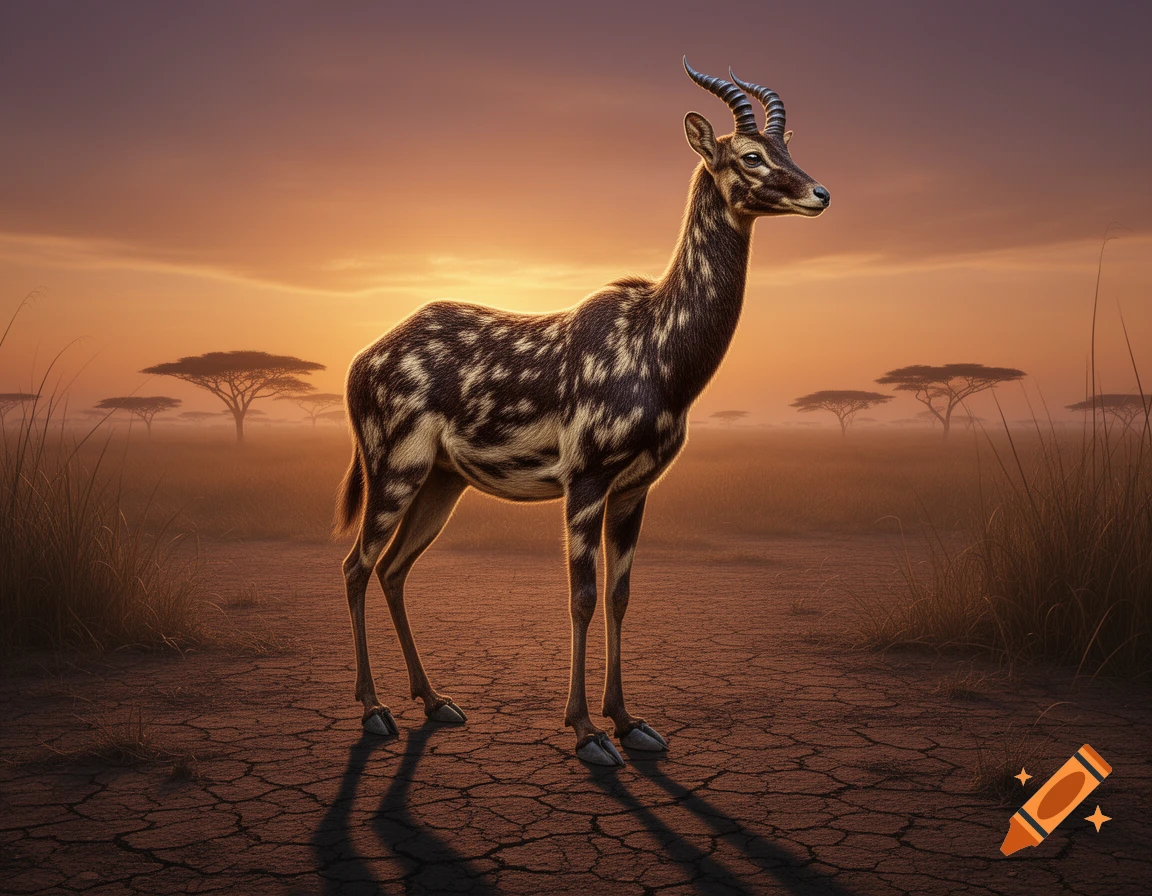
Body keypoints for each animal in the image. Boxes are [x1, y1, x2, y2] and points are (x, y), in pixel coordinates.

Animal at [338, 59, 829, 766]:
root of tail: (360, 361)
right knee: (356, 565)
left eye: (787, 144)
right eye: (750, 154)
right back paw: (375, 711)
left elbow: (621, 597)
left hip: (442, 482)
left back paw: (437, 702)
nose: (819, 193)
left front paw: (631, 723)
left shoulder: (635, 488)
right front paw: (587, 732)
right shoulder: (586, 479)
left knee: (394, 568)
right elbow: (581, 598)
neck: (659, 347)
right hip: (393, 470)